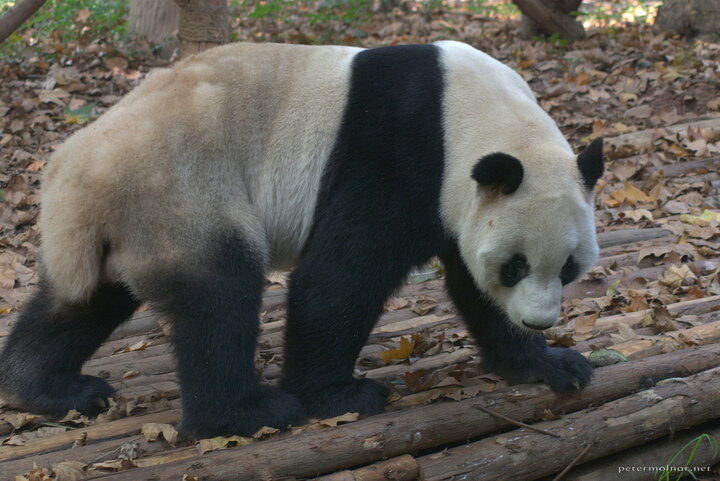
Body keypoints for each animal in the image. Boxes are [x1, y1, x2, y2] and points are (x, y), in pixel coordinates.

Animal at [0, 41, 600, 438]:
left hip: (128, 225)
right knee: (220, 294)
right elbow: (341, 275)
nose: (539, 320)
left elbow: (470, 285)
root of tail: (71, 175)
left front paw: (550, 364)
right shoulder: (403, 150)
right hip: (178, 189)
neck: (470, 113)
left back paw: (48, 387)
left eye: (568, 268)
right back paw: (245, 414)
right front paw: (337, 397)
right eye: (515, 265)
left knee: (84, 301)